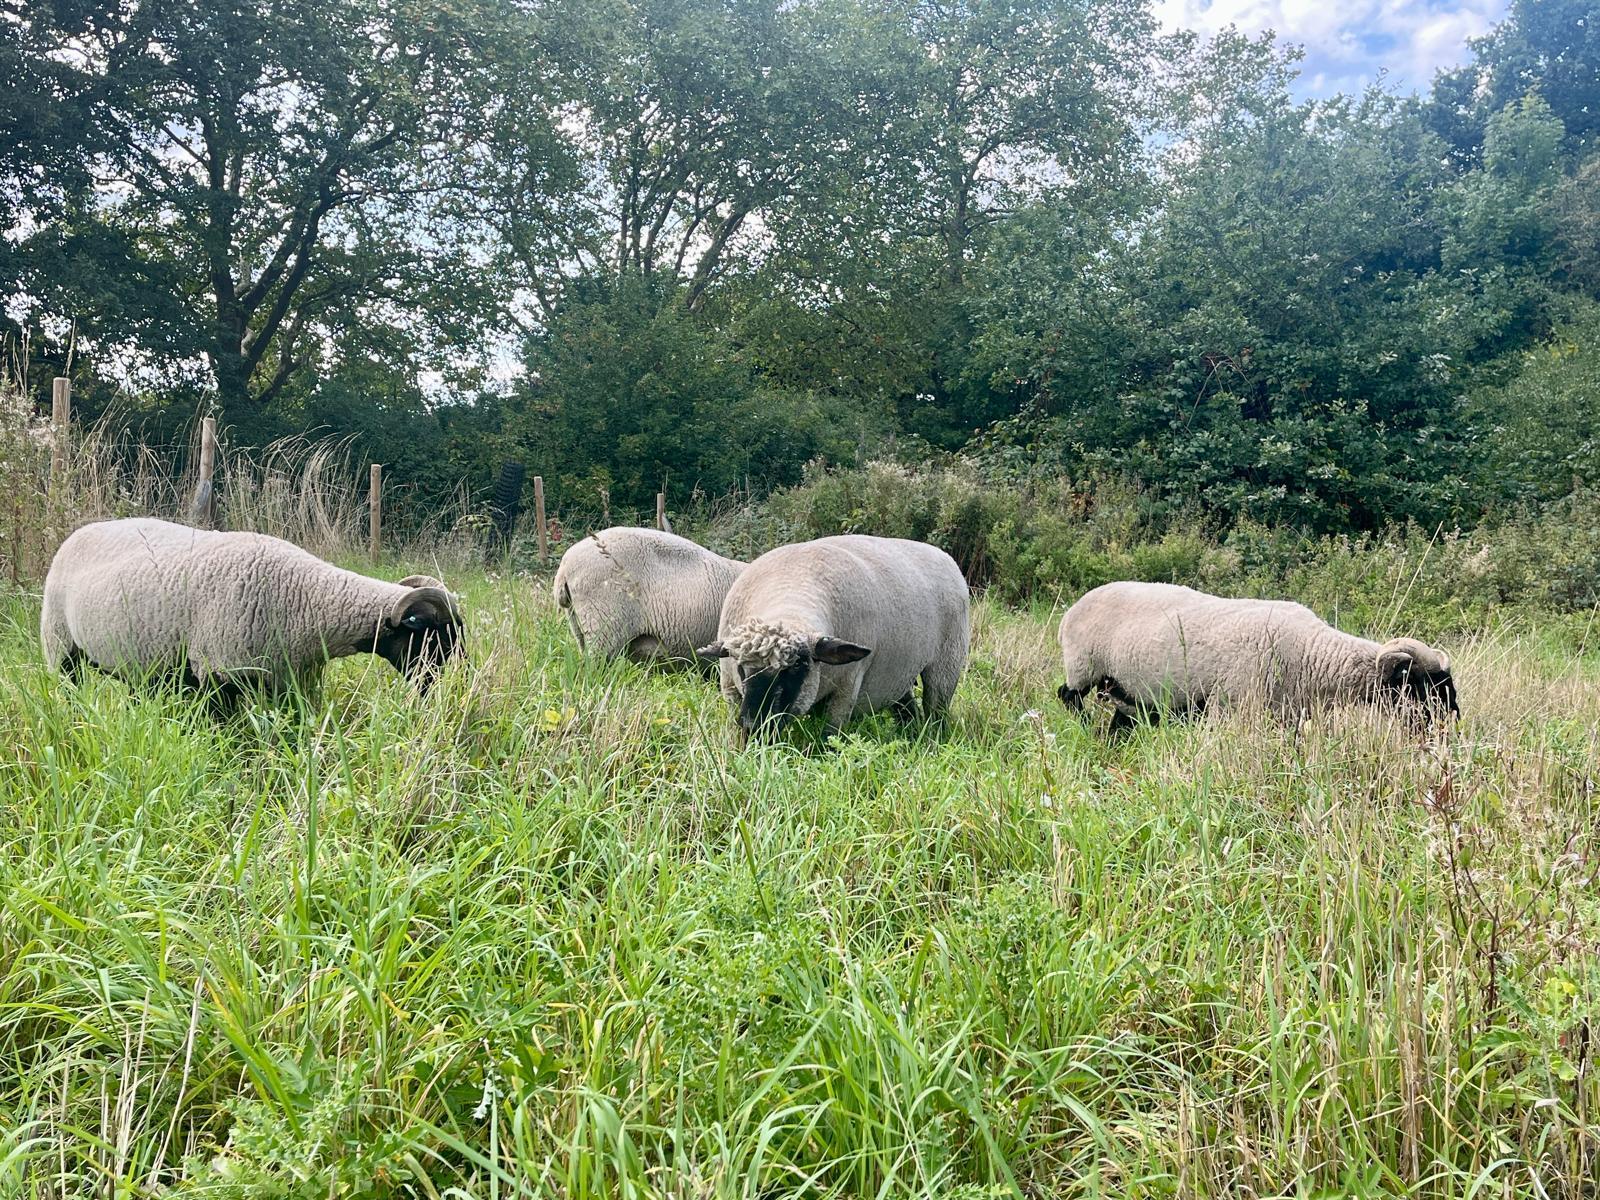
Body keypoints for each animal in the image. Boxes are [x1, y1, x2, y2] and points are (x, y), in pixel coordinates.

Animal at [41, 517, 463, 702]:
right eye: (434, 638)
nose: (437, 692)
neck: (309, 599)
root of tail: (75, 534)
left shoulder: (287, 680)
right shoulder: (218, 672)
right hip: (60, 649)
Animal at [697, 534, 970, 737]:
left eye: (798, 666)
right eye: (740, 667)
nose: (755, 724)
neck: (789, 600)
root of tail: (944, 556)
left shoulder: (847, 687)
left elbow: (830, 736)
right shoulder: (731, 689)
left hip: (946, 663)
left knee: (937, 708)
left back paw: (933, 739)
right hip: (900, 673)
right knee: (907, 707)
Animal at [1056, 581, 1459, 731]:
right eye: (1424, 687)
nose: (1451, 726)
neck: (1312, 654)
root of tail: (1069, 612)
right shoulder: (1228, 708)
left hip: (1124, 687)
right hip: (1084, 667)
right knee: (1067, 695)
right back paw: (1084, 727)